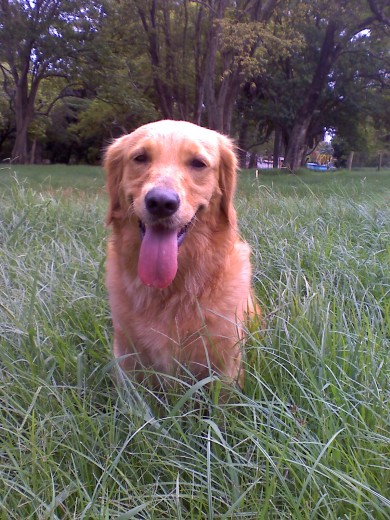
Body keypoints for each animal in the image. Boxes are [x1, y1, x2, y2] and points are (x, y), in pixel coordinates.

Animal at [104, 120, 256, 384]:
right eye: (140, 158)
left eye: (198, 163)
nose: (161, 203)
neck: (172, 288)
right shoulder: (125, 359)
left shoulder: (227, 366)